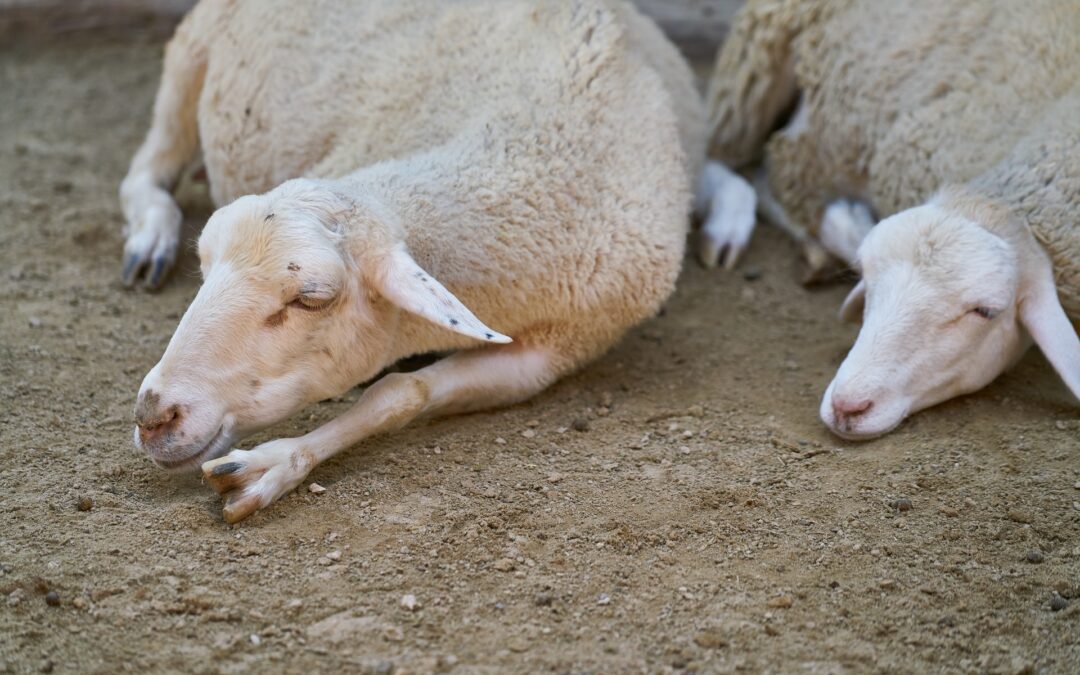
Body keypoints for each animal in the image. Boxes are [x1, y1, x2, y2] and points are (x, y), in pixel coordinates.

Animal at [123, 0, 716, 522]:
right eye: (204, 266)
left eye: (311, 299)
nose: (154, 416)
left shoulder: (557, 351)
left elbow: (402, 393)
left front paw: (274, 462)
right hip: (191, 50)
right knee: (149, 164)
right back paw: (149, 238)